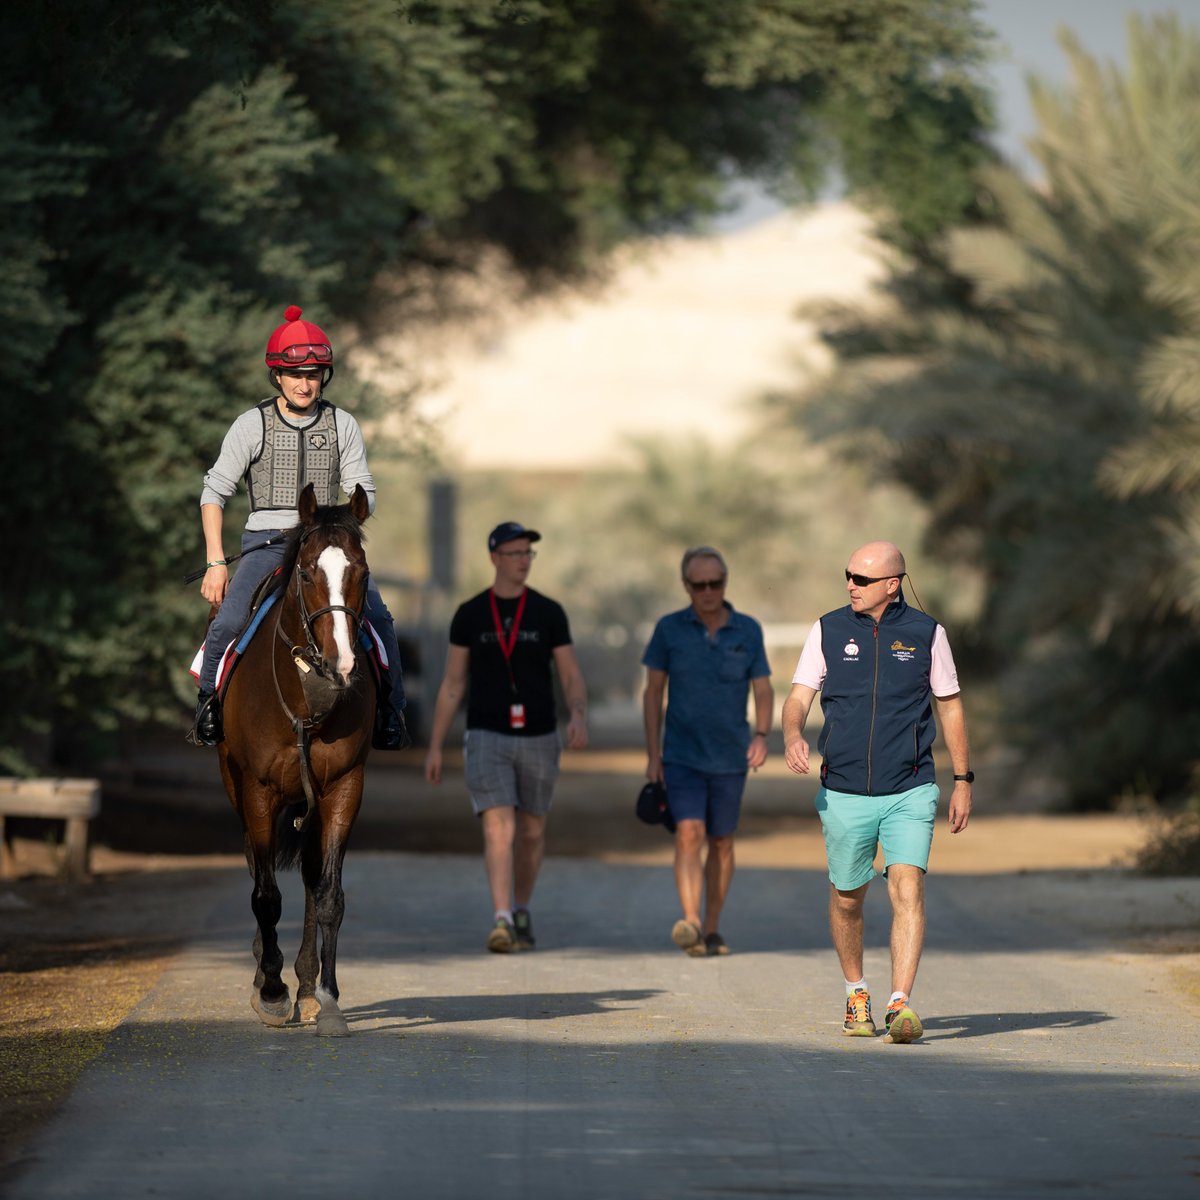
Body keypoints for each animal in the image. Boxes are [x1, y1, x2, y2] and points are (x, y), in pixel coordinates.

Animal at [217, 482, 374, 1037]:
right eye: (306, 573)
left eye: (362, 572)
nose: (342, 663)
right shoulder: (258, 791)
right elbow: (266, 895)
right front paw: (270, 991)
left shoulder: (344, 787)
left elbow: (328, 895)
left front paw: (326, 998)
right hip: (239, 790)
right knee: (255, 867)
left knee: (309, 877)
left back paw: (305, 986)